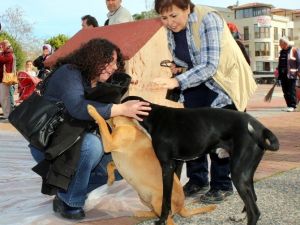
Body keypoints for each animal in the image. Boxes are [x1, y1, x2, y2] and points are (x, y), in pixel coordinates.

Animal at [86, 105, 216, 225]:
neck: (130, 125)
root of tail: (182, 206)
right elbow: (110, 164)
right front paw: (110, 180)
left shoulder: (109, 142)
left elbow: (102, 122)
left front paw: (92, 110)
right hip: (144, 197)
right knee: (155, 213)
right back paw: (142, 213)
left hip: (158, 201)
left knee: (167, 218)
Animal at [122, 96, 278, 224]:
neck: (154, 116)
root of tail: (260, 127)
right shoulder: (177, 164)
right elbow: (173, 193)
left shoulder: (166, 166)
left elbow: (166, 199)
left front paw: (162, 220)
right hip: (246, 174)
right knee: (254, 198)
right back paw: (240, 216)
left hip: (238, 174)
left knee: (255, 212)